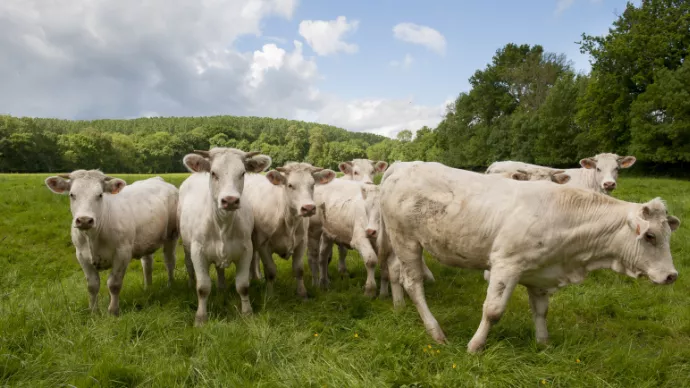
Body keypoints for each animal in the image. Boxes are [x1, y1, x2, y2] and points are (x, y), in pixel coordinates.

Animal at [43, 171, 177, 316]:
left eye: (100, 195)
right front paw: (93, 312)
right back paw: (148, 288)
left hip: (172, 235)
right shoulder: (81, 255)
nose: (84, 220)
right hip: (146, 240)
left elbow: (114, 284)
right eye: (72, 194)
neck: (93, 237)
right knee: (147, 263)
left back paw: (171, 286)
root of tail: (158, 179)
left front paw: (113, 311)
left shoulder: (123, 253)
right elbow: (92, 285)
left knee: (169, 261)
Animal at [176, 147, 270, 326]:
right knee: (189, 266)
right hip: (186, 245)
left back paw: (221, 288)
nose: (230, 200)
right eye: (214, 173)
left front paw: (247, 313)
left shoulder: (246, 250)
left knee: (220, 269)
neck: (223, 225)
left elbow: (243, 285)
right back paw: (191, 284)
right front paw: (200, 318)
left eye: (242, 173)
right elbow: (203, 287)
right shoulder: (198, 251)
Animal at [245, 162, 336, 298]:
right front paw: (270, 295)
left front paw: (302, 293)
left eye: (312, 184)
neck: (289, 221)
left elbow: (299, 269)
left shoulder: (302, 242)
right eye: (290, 185)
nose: (309, 208)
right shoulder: (263, 244)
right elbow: (270, 271)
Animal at [378, 161, 680, 352]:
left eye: (668, 234)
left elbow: (541, 310)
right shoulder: (505, 265)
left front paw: (543, 343)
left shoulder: (541, 273)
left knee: (395, 272)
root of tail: (401, 166)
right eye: (650, 236)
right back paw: (435, 331)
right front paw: (475, 346)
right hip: (406, 240)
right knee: (413, 283)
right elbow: (493, 310)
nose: (671, 275)